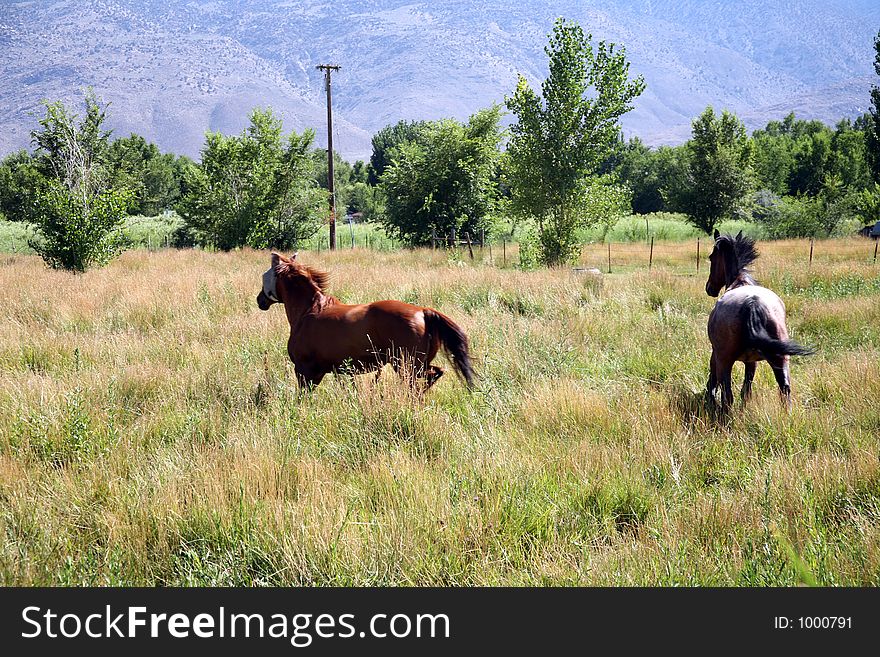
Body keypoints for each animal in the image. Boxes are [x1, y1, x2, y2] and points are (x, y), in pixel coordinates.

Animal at [254, 252, 474, 390]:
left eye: (266, 275)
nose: (260, 300)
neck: (308, 311)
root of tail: (422, 312)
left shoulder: (304, 370)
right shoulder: (321, 372)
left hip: (407, 366)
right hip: (418, 365)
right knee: (436, 374)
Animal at [704, 228, 816, 408]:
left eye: (711, 257)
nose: (710, 288)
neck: (739, 282)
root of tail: (752, 303)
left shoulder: (716, 354)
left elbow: (714, 379)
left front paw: (710, 397)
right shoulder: (752, 362)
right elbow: (746, 390)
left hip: (725, 361)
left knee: (727, 395)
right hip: (780, 359)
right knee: (784, 388)